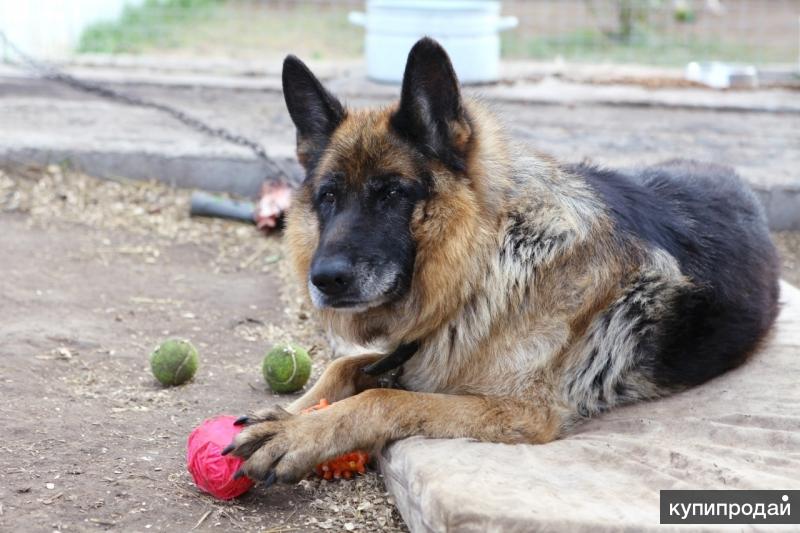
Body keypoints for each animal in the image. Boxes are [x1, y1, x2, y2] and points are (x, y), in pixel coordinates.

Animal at [222, 38, 780, 486]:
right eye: (329, 197)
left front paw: (299, 432)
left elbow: (385, 399)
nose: (324, 280)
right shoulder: (412, 356)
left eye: (393, 193)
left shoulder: (518, 411)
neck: (487, 263)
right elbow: (341, 366)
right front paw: (286, 415)